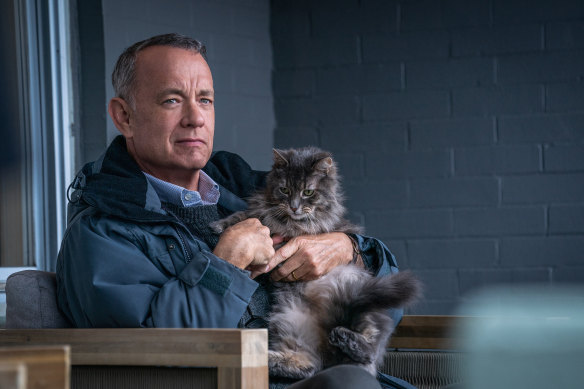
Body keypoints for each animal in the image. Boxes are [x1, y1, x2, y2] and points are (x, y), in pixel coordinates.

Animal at [212, 147, 422, 378]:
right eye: (284, 190)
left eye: (308, 192)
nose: (294, 207)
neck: (289, 221)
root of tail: (331, 354)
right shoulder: (261, 212)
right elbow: (248, 216)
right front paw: (221, 226)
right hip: (289, 323)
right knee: (308, 365)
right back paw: (264, 358)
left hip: (361, 297)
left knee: (369, 352)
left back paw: (344, 337)